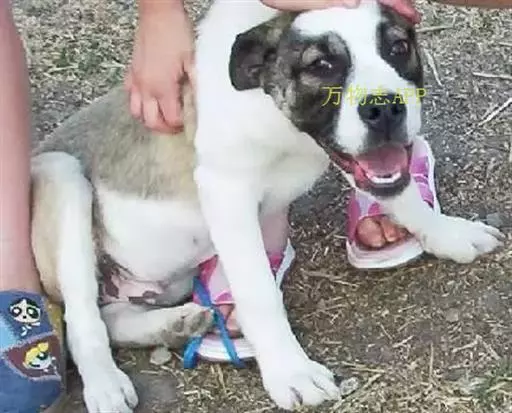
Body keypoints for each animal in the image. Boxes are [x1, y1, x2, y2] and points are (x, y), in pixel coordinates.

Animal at [30, 1, 504, 412]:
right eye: (321, 66)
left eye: (398, 48)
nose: (385, 109)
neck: (278, 117)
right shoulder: (227, 192)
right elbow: (258, 292)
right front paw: (290, 371)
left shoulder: (358, 158)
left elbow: (401, 194)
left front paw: (446, 233)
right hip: (62, 175)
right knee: (82, 321)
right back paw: (106, 385)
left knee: (110, 314)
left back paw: (175, 323)